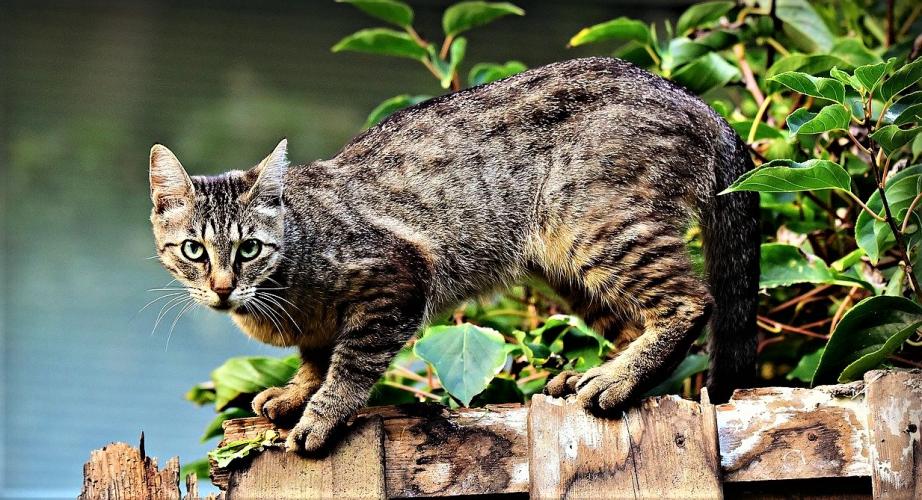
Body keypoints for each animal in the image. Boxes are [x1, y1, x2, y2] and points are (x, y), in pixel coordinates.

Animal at [149, 55, 756, 454]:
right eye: (193, 250)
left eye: (249, 248)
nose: (222, 287)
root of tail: (698, 102)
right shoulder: (321, 327)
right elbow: (316, 358)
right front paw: (297, 392)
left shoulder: (396, 280)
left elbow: (349, 364)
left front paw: (321, 414)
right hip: (566, 266)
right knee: (633, 321)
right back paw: (594, 375)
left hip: (596, 226)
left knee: (691, 302)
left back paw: (615, 380)